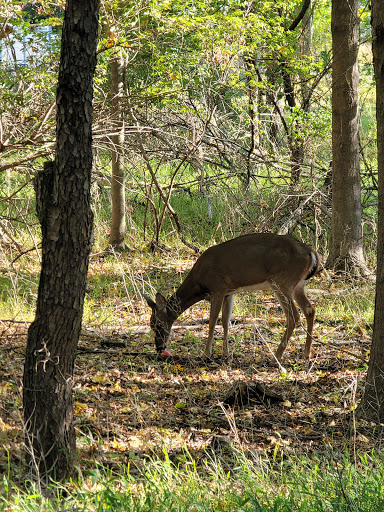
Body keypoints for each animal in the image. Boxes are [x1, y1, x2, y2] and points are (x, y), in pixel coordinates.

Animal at [142, 234, 320, 362]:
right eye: (151, 324)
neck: (199, 282)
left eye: (157, 325)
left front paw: (206, 354)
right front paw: (225, 353)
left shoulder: (218, 288)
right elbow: (226, 322)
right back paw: (306, 354)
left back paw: (277, 355)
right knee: (310, 310)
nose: (159, 348)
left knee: (293, 315)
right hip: (298, 285)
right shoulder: (230, 292)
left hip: (282, 282)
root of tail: (311, 253)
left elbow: (213, 321)